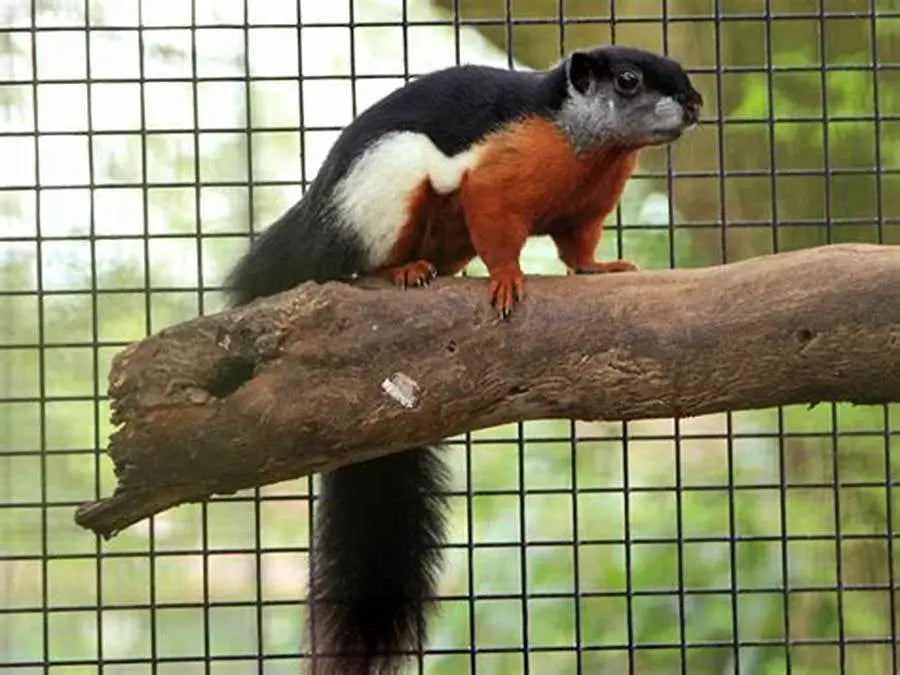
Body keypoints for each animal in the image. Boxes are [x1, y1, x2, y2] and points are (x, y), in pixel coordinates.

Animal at [226, 45, 701, 675]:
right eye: (628, 81)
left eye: (682, 72)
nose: (696, 105)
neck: (586, 148)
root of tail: (312, 238)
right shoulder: (494, 184)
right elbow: (499, 233)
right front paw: (506, 281)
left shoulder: (585, 211)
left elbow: (578, 251)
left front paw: (602, 268)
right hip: (386, 194)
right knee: (366, 264)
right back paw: (402, 271)